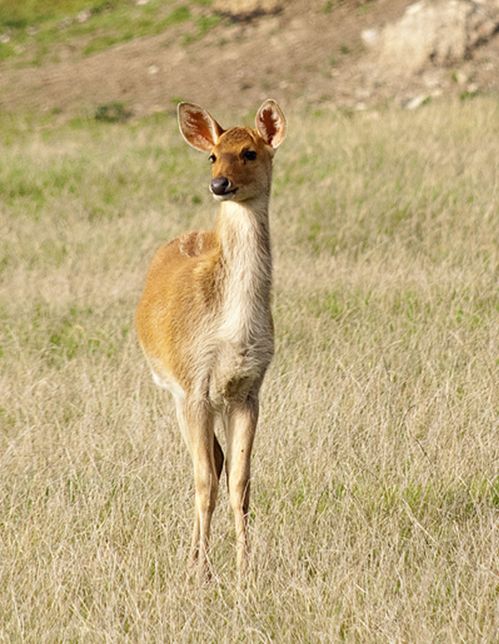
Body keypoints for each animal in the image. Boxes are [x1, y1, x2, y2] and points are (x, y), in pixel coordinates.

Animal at [135, 99, 286, 580]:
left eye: (250, 153)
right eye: (212, 155)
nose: (220, 184)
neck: (228, 330)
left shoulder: (250, 388)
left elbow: (241, 480)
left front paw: (244, 567)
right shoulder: (194, 383)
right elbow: (203, 480)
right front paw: (198, 572)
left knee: (221, 464)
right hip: (175, 392)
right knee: (206, 468)